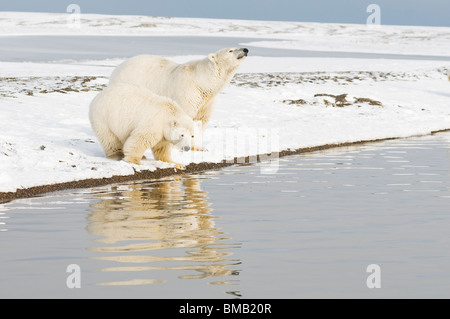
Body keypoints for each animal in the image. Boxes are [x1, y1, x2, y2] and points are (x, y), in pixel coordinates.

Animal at [109, 46, 250, 148]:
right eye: (230, 50)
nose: (245, 49)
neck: (202, 80)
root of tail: (117, 69)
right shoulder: (188, 93)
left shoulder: (207, 101)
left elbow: (202, 121)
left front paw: (199, 147)